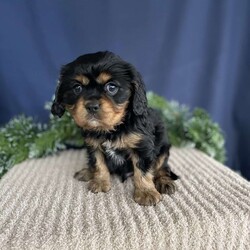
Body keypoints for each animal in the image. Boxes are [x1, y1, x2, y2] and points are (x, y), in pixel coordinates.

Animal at [51, 51, 179, 205]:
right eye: (77, 88)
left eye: (111, 87)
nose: (91, 106)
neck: (111, 129)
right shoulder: (93, 146)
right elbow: (98, 163)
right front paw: (100, 181)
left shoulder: (142, 147)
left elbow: (142, 170)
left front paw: (145, 192)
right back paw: (88, 171)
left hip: (163, 149)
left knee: (162, 168)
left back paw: (164, 182)